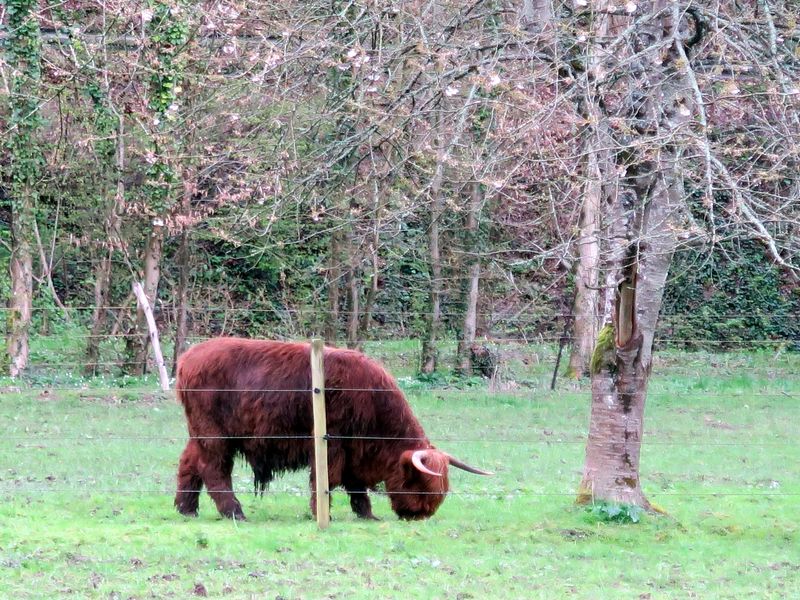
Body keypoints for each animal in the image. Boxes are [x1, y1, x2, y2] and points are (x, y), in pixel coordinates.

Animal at [173, 338, 494, 520]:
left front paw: (367, 514)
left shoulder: (355, 451)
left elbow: (355, 485)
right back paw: (234, 512)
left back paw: (186, 509)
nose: (421, 515)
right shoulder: (333, 444)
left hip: (199, 434)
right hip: (215, 436)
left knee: (189, 464)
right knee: (214, 469)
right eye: (419, 482)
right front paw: (321, 512)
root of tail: (189, 358)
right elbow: (329, 479)